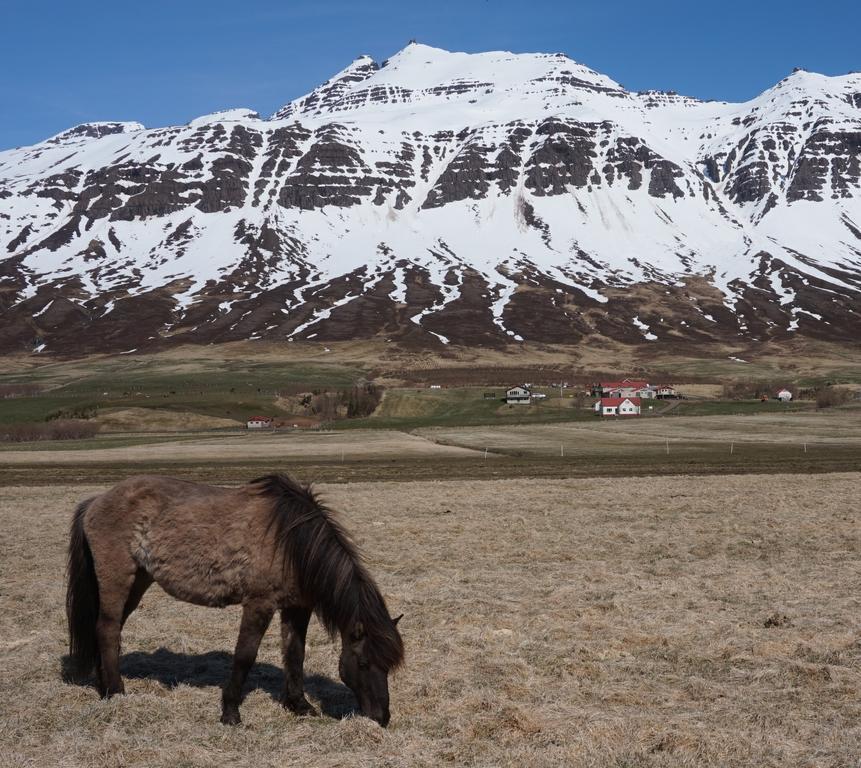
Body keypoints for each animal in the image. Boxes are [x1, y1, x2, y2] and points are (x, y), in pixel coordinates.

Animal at [66, 474, 404, 728]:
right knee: (108, 629)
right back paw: (116, 693)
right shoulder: (259, 604)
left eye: (388, 666)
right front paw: (231, 713)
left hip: (138, 581)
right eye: (363, 663)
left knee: (107, 630)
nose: (382, 718)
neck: (291, 541)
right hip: (118, 579)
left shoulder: (297, 608)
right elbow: (244, 656)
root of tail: (96, 500)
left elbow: (295, 654)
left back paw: (104, 687)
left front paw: (299, 705)